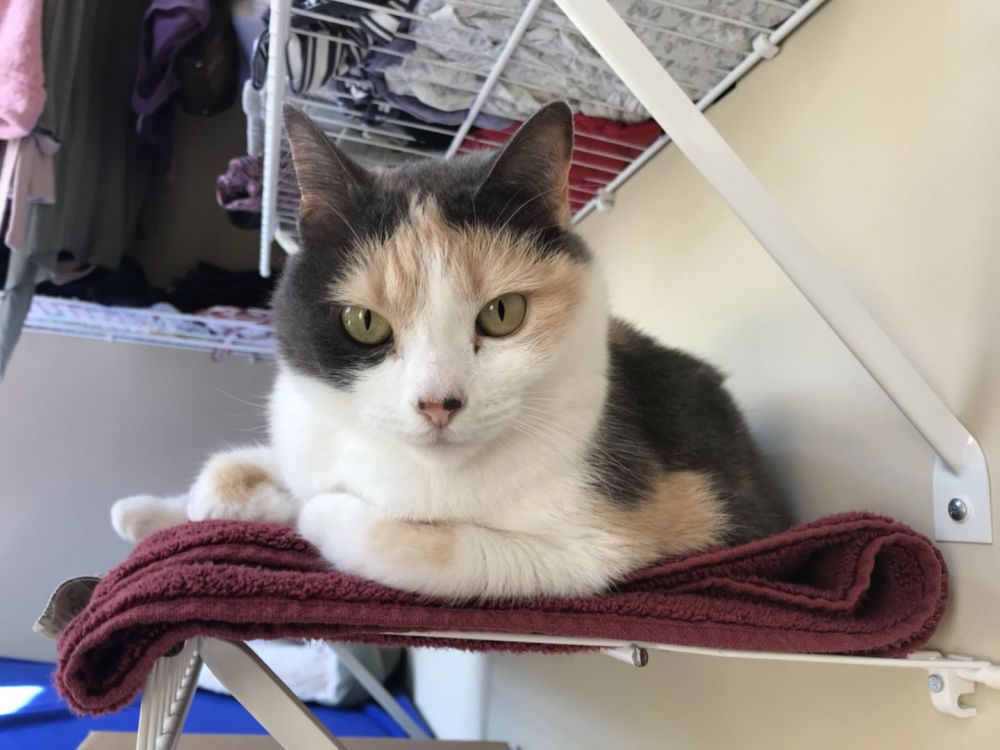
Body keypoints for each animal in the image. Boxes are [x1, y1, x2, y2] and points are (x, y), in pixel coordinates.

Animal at [112, 102, 787, 599]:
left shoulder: (609, 539)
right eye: (364, 323)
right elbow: (257, 469)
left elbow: (422, 543)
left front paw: (315, 513)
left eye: (502, 313)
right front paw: (177, 505)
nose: (438, 403)